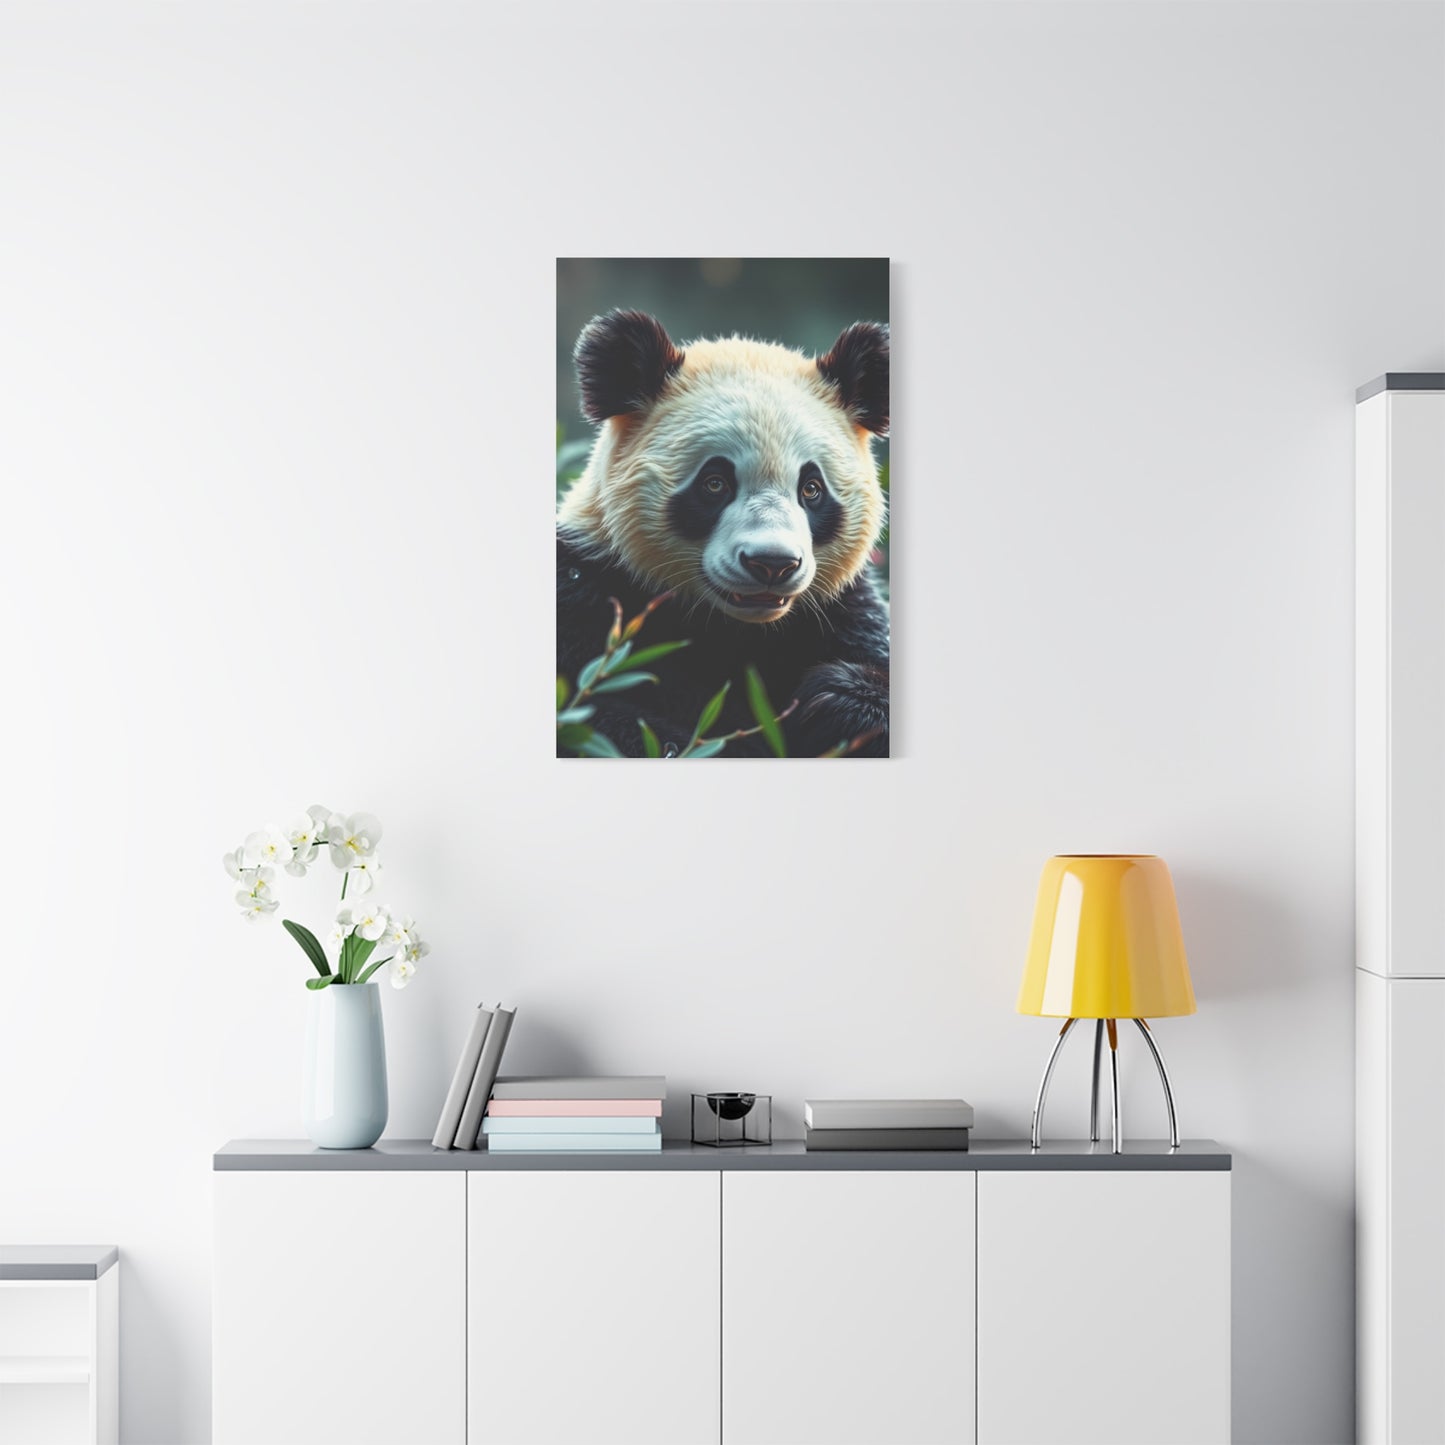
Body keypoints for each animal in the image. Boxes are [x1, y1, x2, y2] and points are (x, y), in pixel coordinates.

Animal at [557, 309, 890, 758]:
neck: (735, 627)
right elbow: (602, 719)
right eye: (715, 483)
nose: (772, 564)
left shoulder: (841, 611)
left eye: (811, 488)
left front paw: (837, 703)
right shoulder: (587, 595)